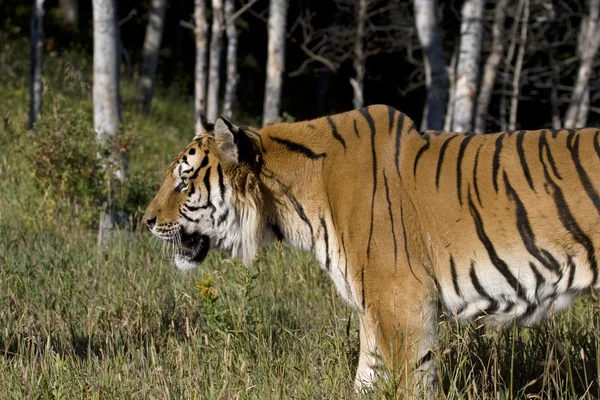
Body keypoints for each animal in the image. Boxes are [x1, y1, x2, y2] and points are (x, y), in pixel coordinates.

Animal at [143, 105, 600, 396]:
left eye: (183, 182)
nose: (145, 220)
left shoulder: (402, 299)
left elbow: (410, 383)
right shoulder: (373, 304)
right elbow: (367, 376)